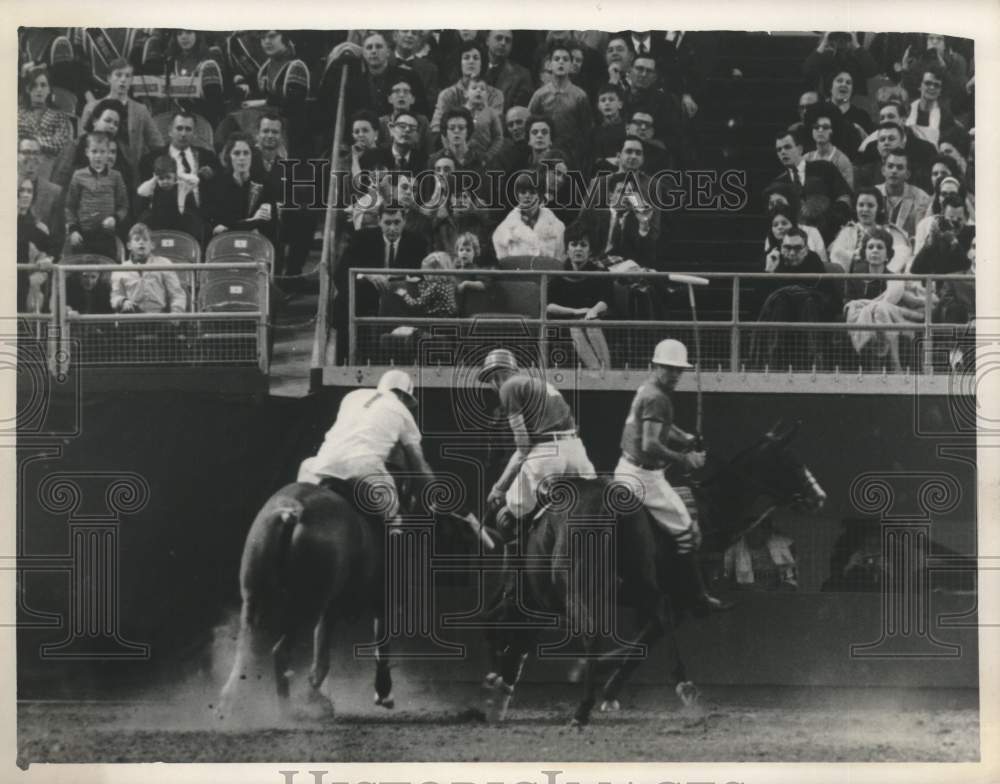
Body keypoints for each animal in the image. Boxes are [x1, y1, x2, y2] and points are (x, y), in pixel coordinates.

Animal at [221, 474, 494, 720]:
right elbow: (378, 647)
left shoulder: (330, 609)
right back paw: (287, 711)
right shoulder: (379, 602)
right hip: (309, 604)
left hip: (255, 597)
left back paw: (231, 703)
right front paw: (381, 693)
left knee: (245, 648)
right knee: (280, 652)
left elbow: (322, 655)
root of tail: (292, 512)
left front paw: (319, 699)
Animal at [480, 420, 824, 724]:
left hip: (547, 589)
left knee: (511, 623)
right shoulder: (678, 600)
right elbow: (647, 637)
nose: (819, 497)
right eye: (792, 463)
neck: (710, 512)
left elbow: (641, 640)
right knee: (533, 626)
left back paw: (502, 685)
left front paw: (604, 684)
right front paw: (608, 686)